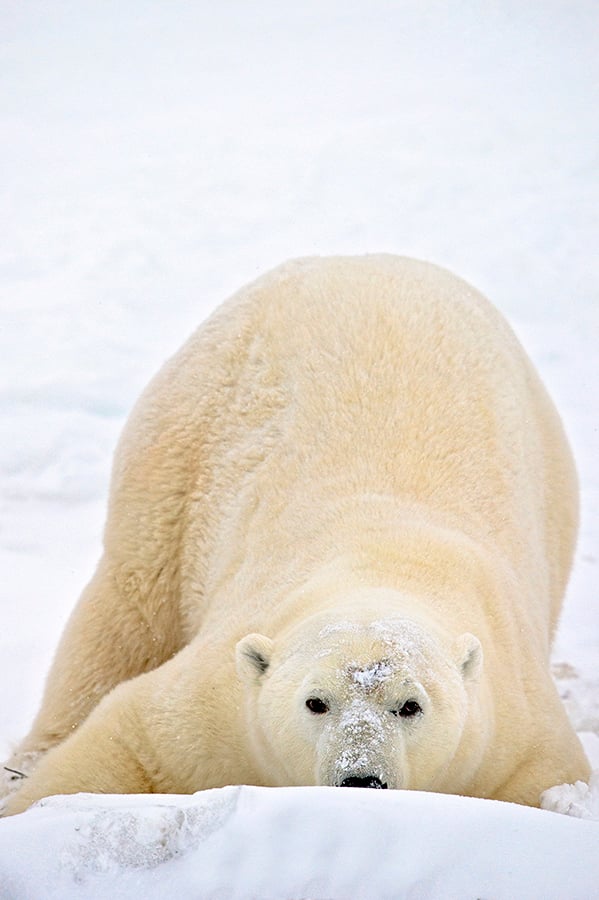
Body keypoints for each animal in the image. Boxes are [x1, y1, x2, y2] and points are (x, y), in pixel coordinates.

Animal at [0, 253, 592, 816]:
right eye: (316, 701)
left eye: (411, 705)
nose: (361, 779)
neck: (382, 562)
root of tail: (357, 260)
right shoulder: (220, 702)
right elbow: (127, 737)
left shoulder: (510, 729)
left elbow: (544, 780)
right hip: (183, 436)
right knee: (127, 611)